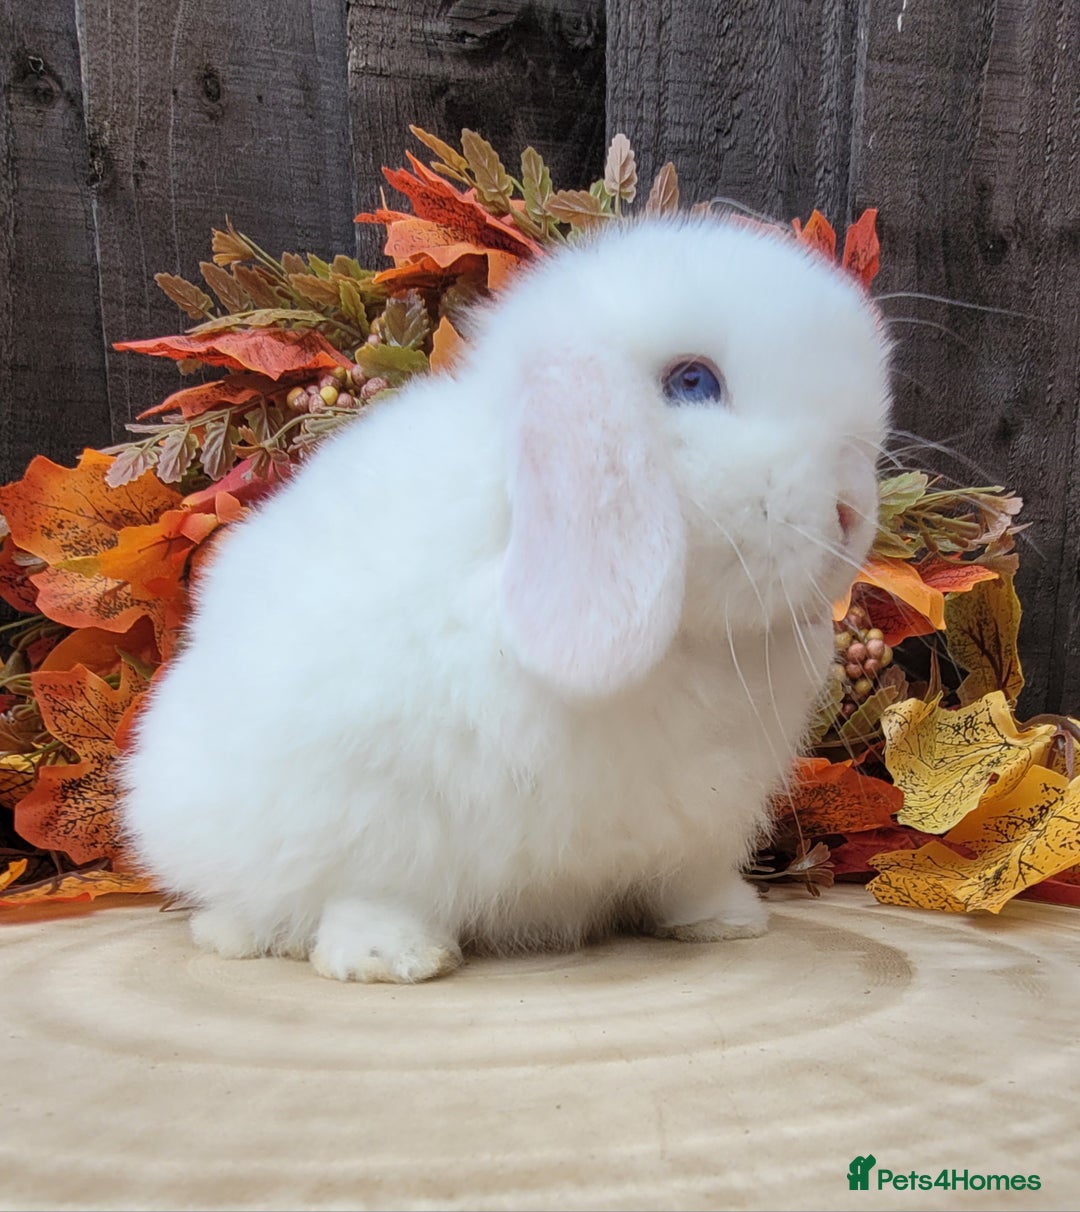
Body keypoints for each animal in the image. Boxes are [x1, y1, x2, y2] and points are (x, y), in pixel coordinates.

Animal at [121, 215, 892, 983]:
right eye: (693, 381)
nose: (851, 513)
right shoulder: (370, 797)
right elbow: (372, 885)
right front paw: (388, 957)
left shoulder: (699, 818)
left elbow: (688, 879)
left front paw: (725, 921)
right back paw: (249, 935)